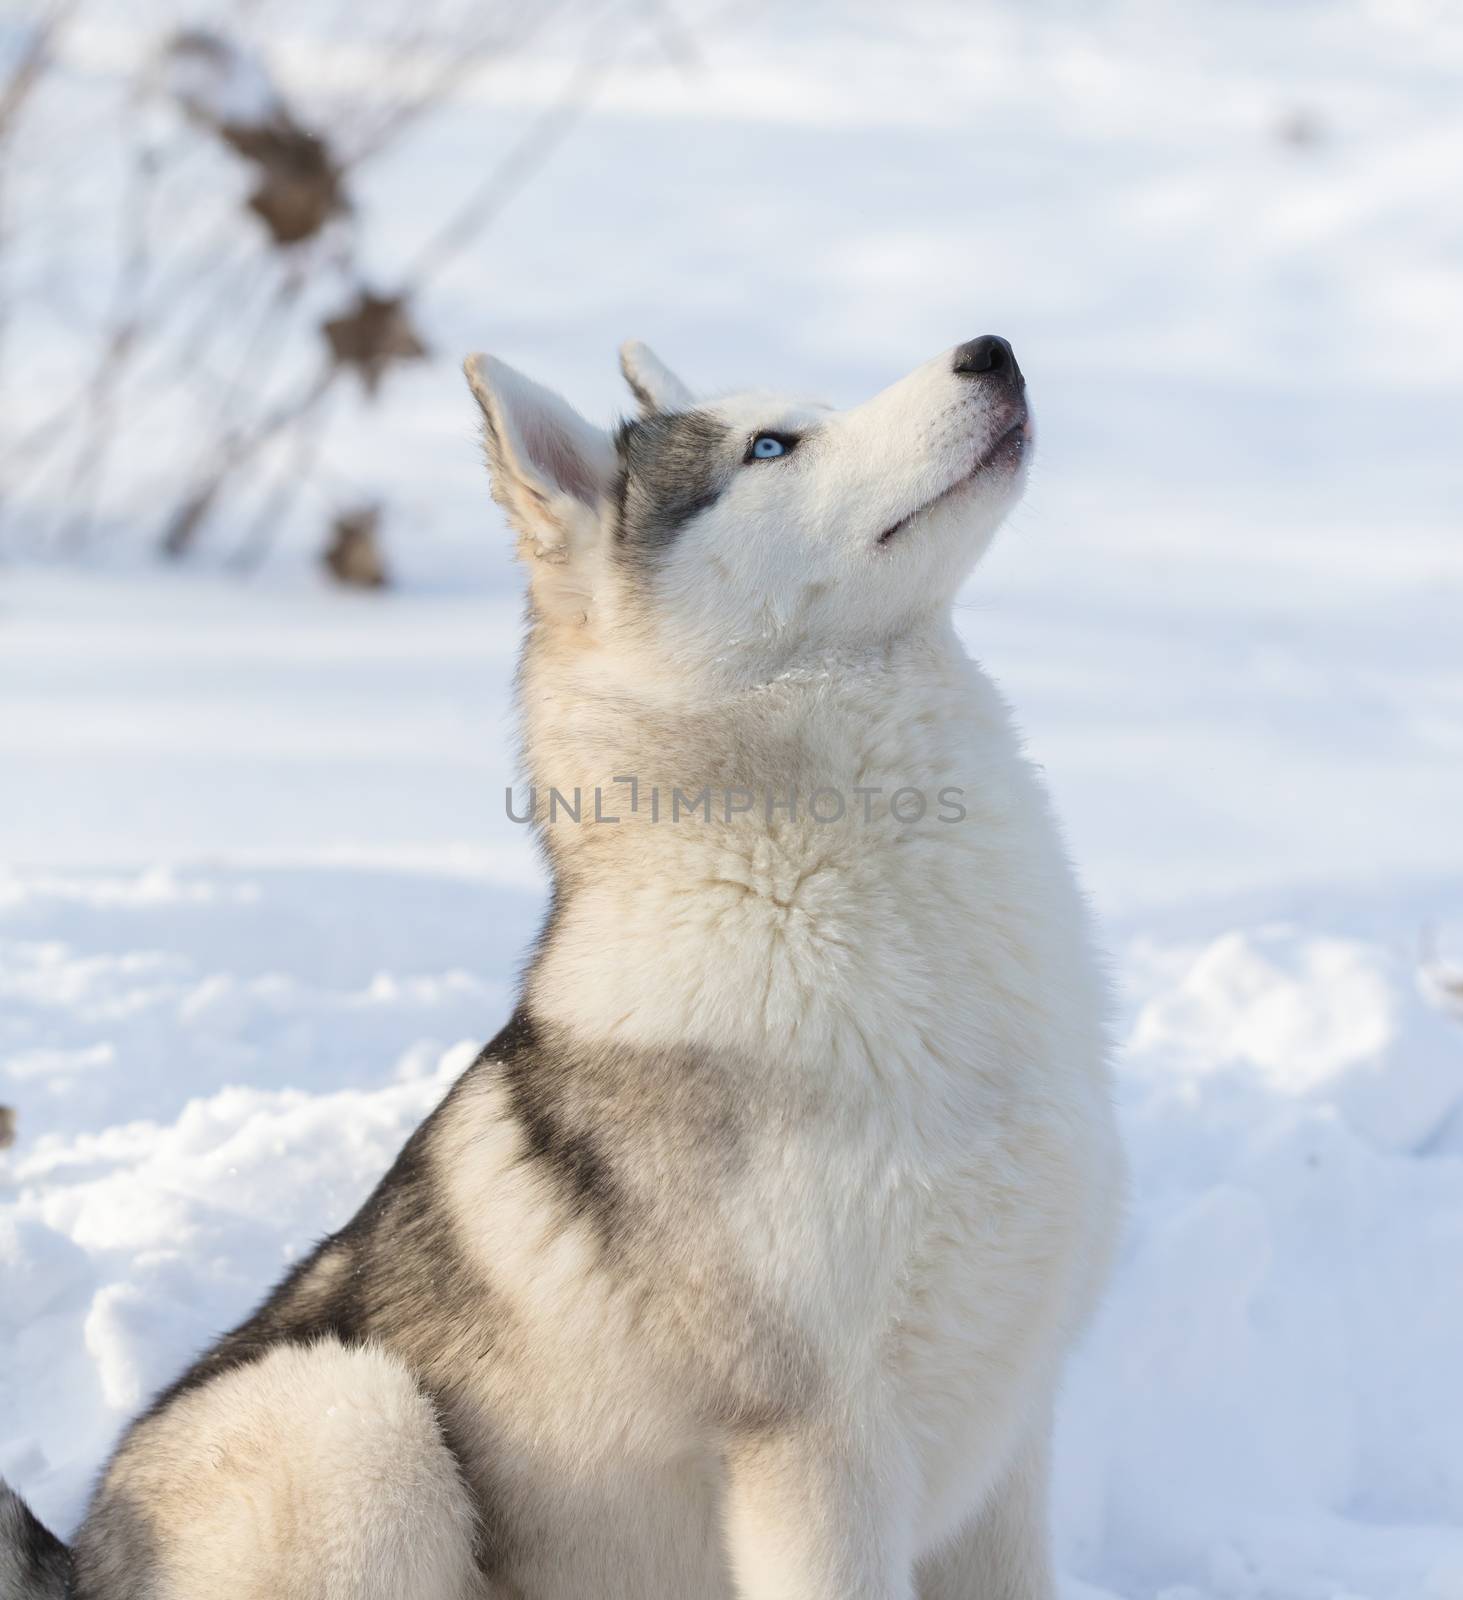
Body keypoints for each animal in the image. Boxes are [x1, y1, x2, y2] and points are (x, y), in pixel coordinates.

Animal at [0, 331, 1120, 1593]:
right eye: (769, 448)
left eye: (811, 411)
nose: (991, 351)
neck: (801, 893)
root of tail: (82, 1558)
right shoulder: (814, 1448)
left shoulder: (1005, 1447)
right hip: (358, 1420)